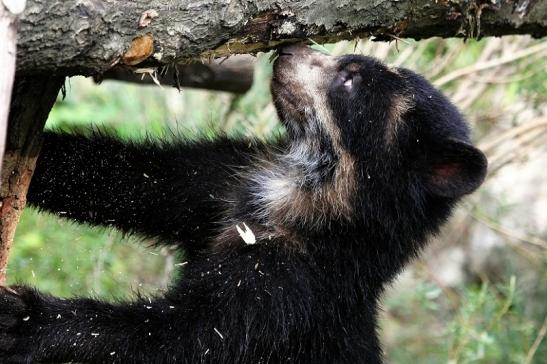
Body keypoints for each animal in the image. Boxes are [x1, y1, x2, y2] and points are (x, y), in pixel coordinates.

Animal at [0, 44, 488, 362]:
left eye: (349, 79)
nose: (287, 48)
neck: (300, 195)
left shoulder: (286, 292)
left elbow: (182, 337)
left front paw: (20, 318)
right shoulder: (227, 181)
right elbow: (136, 178)